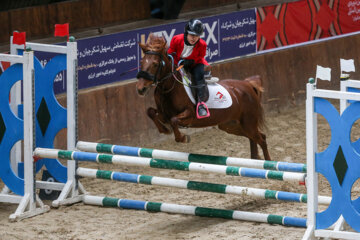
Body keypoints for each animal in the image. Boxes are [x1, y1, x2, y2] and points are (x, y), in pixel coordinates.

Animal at [135, 32, 270, 160]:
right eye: (141, 62)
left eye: (155, 64)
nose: (141, 89)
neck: (169, 89)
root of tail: (247, 84)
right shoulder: (164, 115)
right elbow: (150, 112)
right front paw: (164, 130)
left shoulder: (190, 115)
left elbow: (174, 120)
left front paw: (184, 138)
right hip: (230, 125)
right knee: (254, 138)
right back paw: (255, 159)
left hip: (248, 123)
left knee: (262, 139)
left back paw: (268, 162)